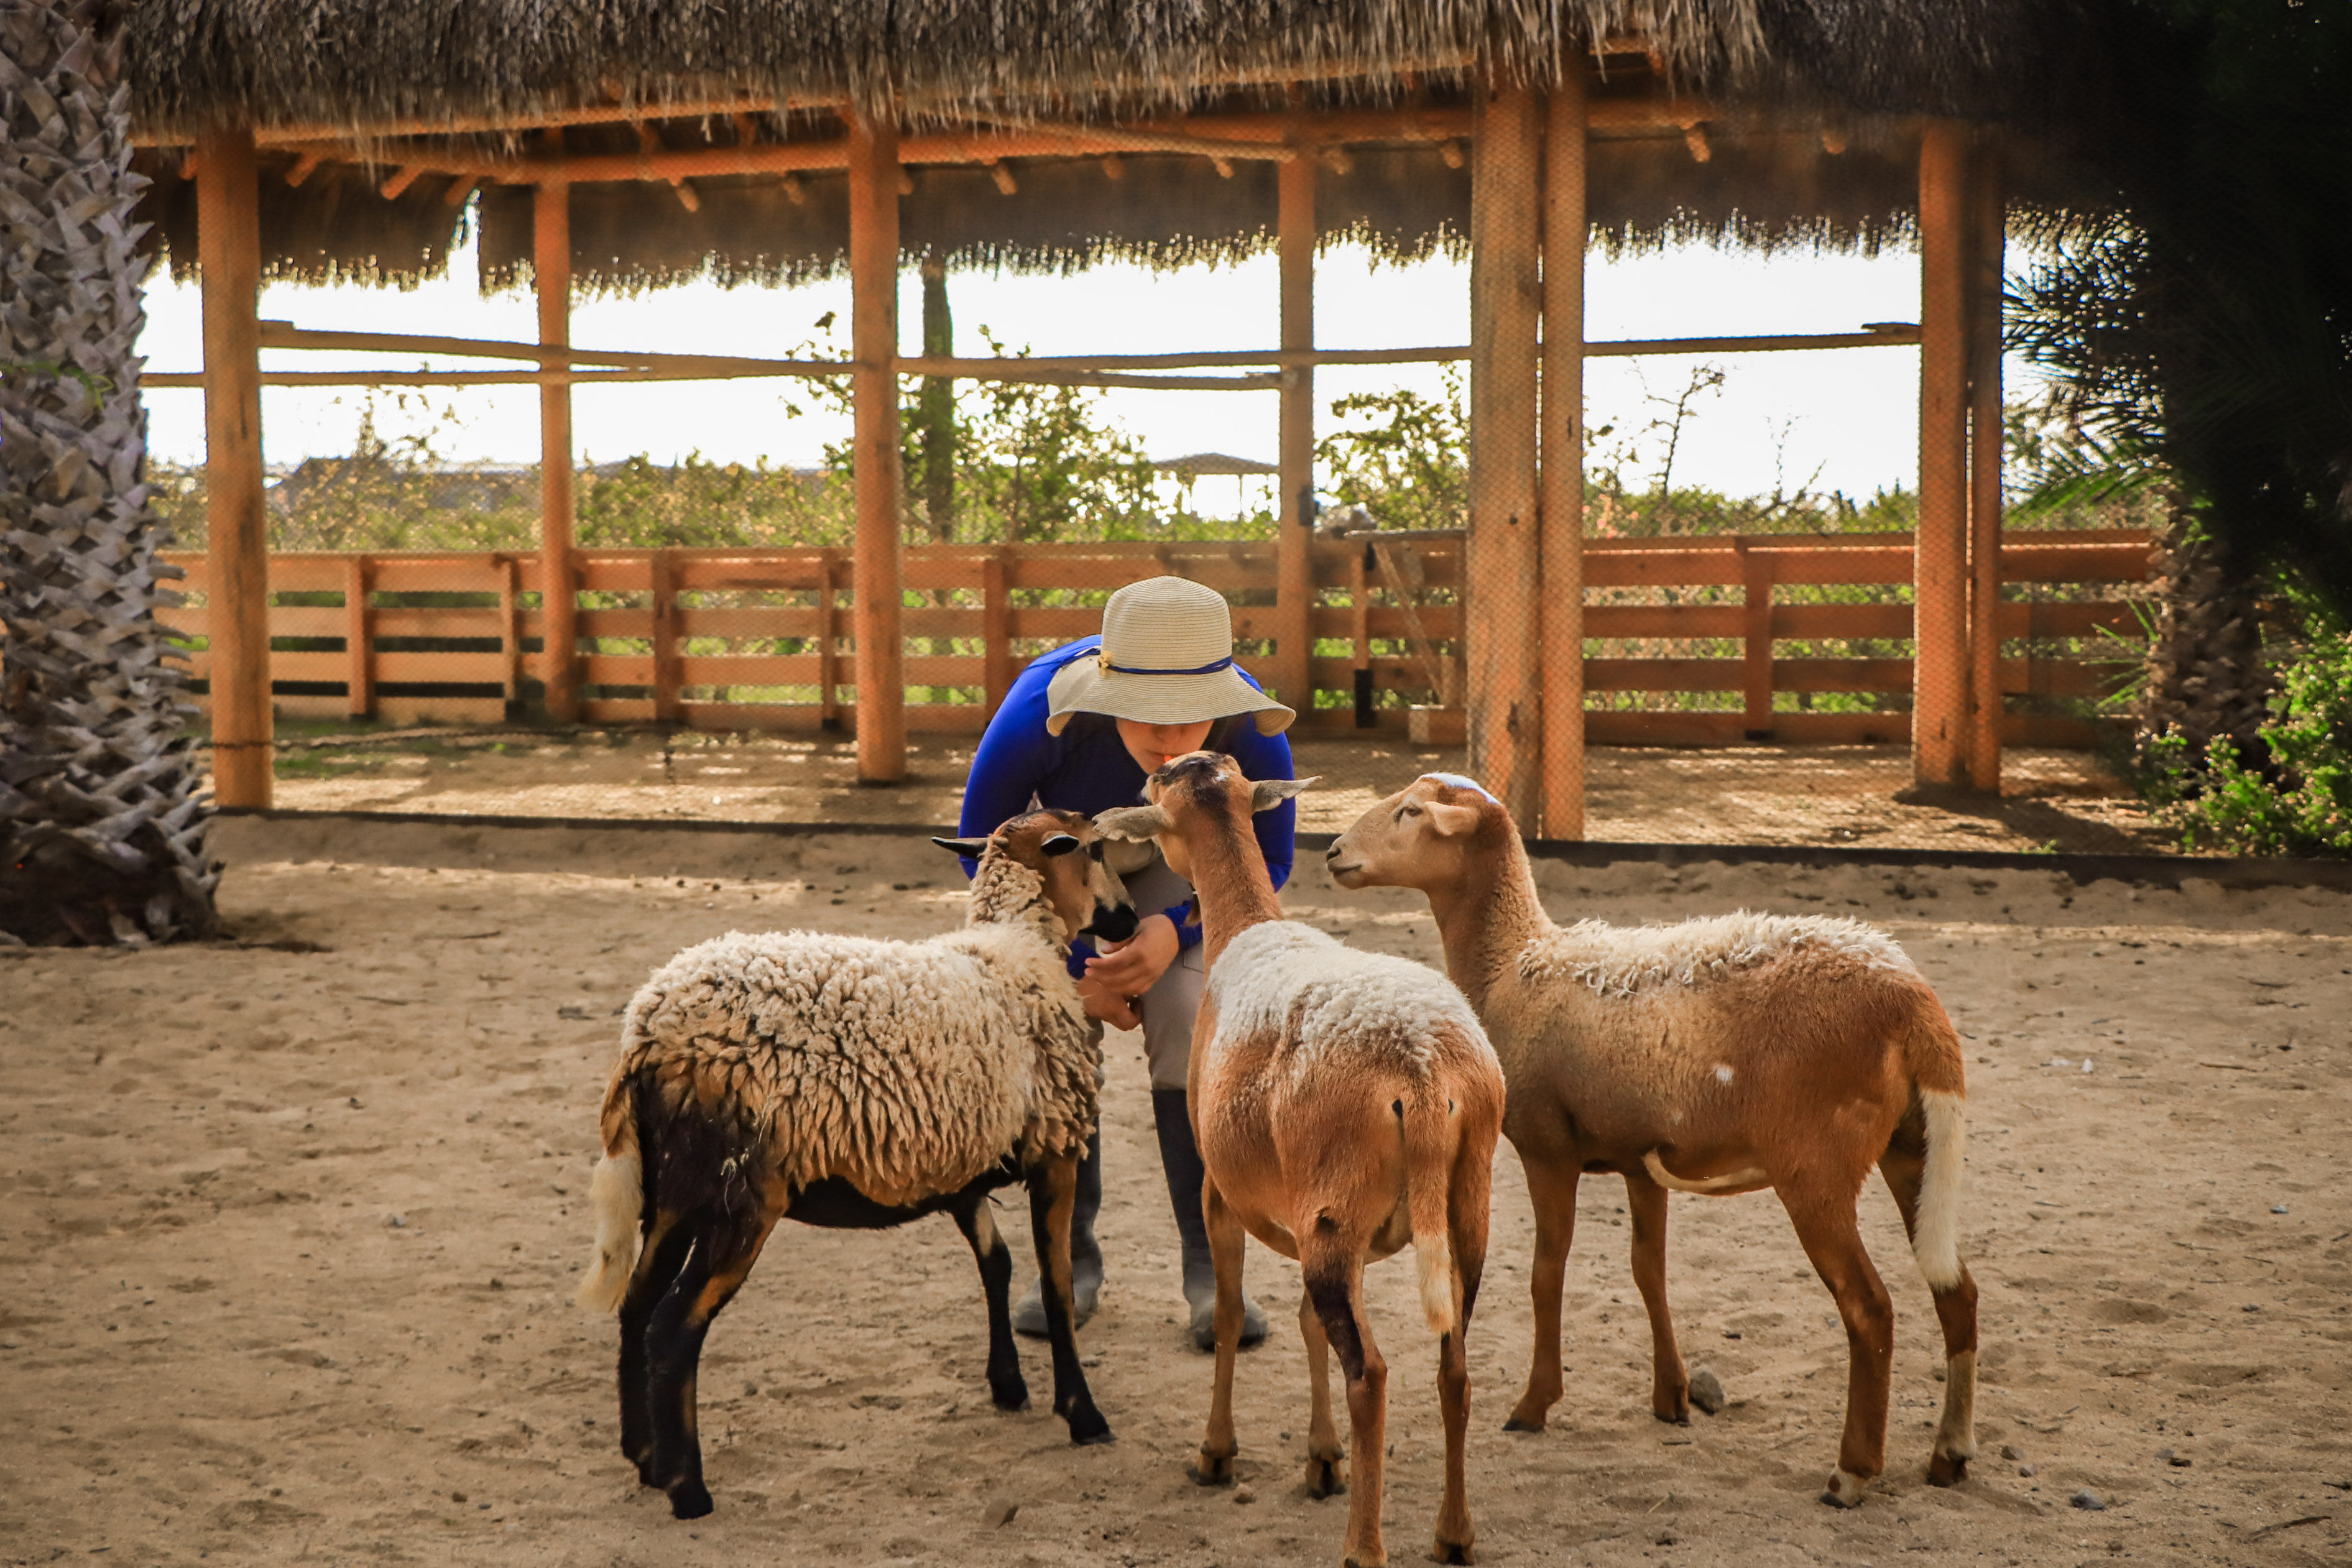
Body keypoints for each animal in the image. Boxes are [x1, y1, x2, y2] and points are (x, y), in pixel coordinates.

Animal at [574, 808, 1137, 1519]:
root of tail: (647, 1034)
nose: (1131, 918)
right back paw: (688, 1488)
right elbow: (1057, 1286)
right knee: (674, 1327)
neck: (1015, 945)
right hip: (740, 1197)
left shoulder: (963, 1165)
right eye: (1094, 850)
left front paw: (1007, 1384)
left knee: (636, 1306)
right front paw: (1083, 1414)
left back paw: (644, 1457)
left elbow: (997, 1264)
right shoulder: (1055, 1154)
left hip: (675, 1189)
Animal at [1097, 753, 1506, 1568]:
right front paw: (1322, 1458)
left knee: (1372, 1373)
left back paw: (1363, 1547)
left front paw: (1216, 1451)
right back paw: (1453, 1533)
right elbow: (1308, 1322)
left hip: (1336, 1212)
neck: (1250, 926)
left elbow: (1230, 1313)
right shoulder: (1315, 1218)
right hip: (1457, 1210)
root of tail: (1422, 1072)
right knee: (1454, 1365)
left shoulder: (1222, 1193)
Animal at [1325, 773, 1979, 1510]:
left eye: (1410, 812)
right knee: (1956, 1291)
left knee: (1870, 1309)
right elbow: (1650, 1271)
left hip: (1817, 1167)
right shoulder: (1640, 1161)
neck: (1514, 964)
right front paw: (1672, 1395)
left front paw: (1534, 1403)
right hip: (1912, 1145)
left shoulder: (1547, 1150)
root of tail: (1913, 999)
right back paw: (1950, 1452)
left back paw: (1852, 1471)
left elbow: (1546, 1273)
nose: (1333, 850)